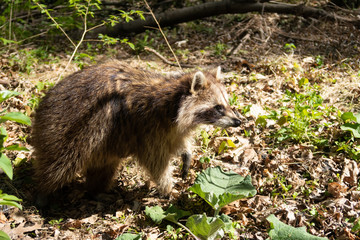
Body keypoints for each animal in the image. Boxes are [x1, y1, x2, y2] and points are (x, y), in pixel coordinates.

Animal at [30, 60, 239, 202]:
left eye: (227, 104)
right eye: (218, 108)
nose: (238, 121)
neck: (172, 103)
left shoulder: (167, 128)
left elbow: (177, 141)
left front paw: (186, 152)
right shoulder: (146, 126)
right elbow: (156, 162)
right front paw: (167, 187)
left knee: (104, 167)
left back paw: (95, 191)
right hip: (68, 131)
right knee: (59, 165)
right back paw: (44, 190)